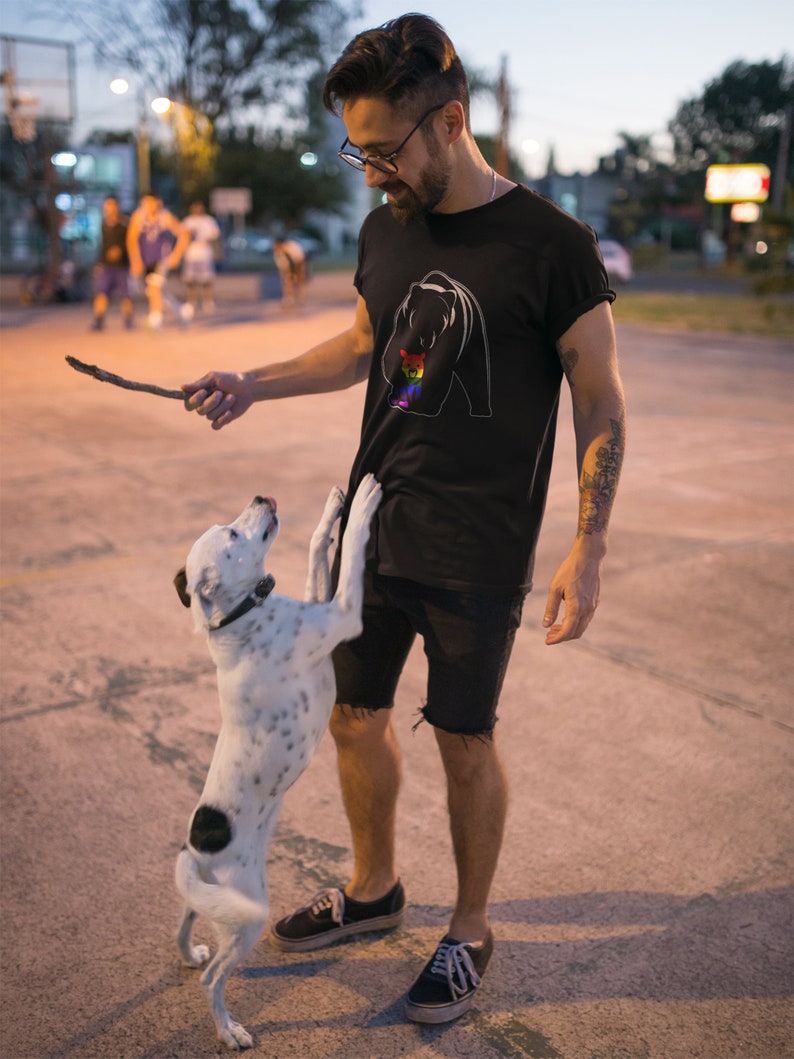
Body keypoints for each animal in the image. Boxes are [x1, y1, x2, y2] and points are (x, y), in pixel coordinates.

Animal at [173, 476, 383, 1046]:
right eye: (230, 532)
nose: (261, 497)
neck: (238, 618)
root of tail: (197, 850)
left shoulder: (319, 600)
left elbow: (316, 548)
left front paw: (336, 505)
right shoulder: (343, 612)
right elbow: (352, 549)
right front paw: (363, 504)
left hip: (216, 900)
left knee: (186, 922)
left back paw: (189, 952)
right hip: (247, 917)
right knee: (212, 980)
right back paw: (228, 1030)